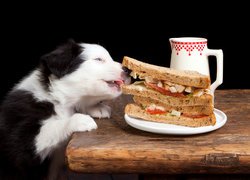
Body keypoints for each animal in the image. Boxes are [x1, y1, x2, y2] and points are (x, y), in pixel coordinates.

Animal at [0, 39, 131, 180]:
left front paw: (96, 108)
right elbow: (50, 128)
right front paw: (79, 120)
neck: (58, 99)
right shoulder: (21, 142)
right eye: (99, 59)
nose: (128, 70)